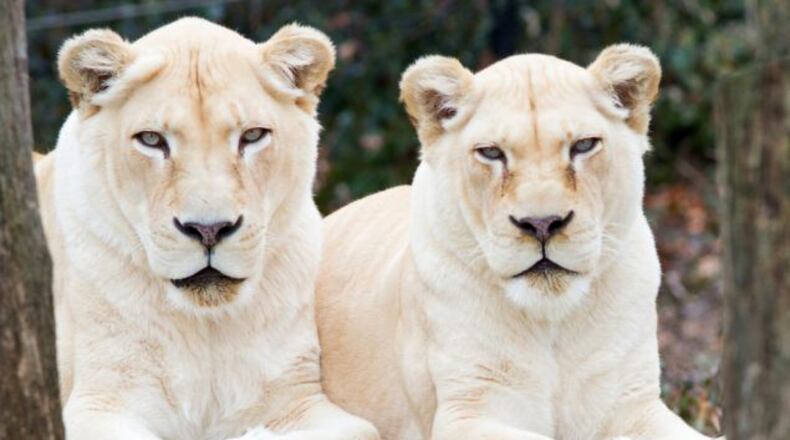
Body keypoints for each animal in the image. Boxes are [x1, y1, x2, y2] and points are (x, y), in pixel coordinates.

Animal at [35, 18, 378, 440]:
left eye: (252, 136)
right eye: (152, 139)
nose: (209, 230)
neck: (207, 329)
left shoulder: (299, 399)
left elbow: (361, 429)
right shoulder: (98, 402)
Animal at [316, 46, 721, 440]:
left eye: (584, 146)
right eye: (492, 153)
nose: (541, 224)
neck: (553, 322)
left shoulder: (632, 404)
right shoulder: (468, 411)